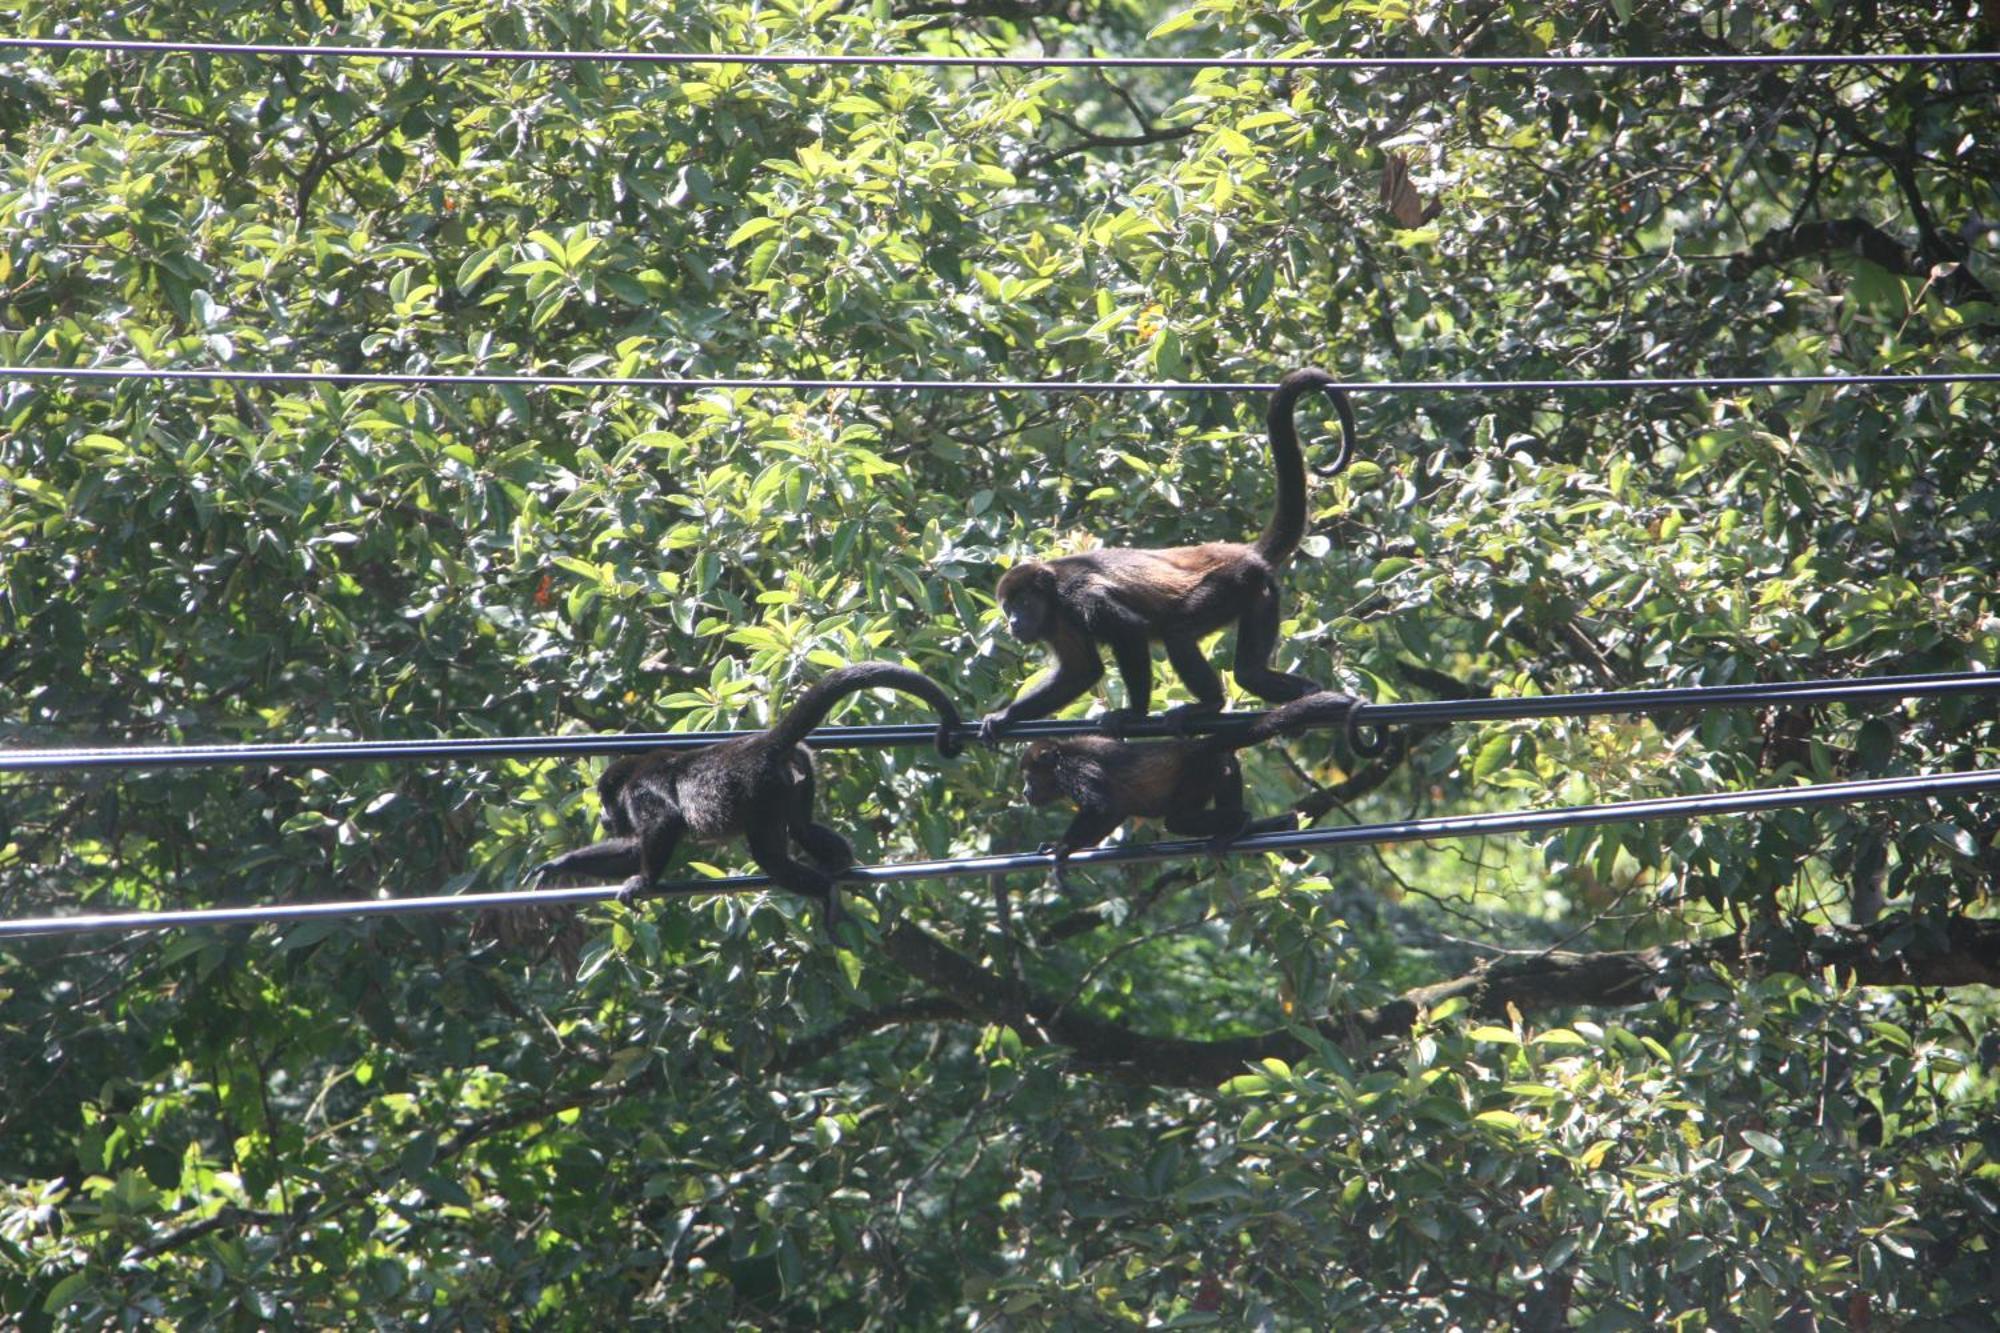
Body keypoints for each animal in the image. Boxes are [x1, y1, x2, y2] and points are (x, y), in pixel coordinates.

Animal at [532, 660, 968, 920]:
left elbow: (662, 825)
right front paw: (559, 865)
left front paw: (643, 881)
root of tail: (763, 743)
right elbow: (631, 848)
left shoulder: (641, 793)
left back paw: (826, 891)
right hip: (800, 774)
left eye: (606, 801)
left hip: (764, 790)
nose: (606, 818)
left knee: (770, 857)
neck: (630, 781)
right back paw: (840, 864)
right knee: (802, 828)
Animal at [972, 364, 1352, 740]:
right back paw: (1308, 694)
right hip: (1260, 592)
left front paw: (1133, 712)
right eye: (1007, 608)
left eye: (1022, 603)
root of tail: (1244, 553)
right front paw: (1005, 717)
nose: (1014, 622)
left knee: (1178, 634)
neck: (1053, 597)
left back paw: (1210, 704)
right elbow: (1081, 671)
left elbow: (1130, 632)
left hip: (1232, 581)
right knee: (1248, 673)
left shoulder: (1081, 598)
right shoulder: (1057, 623)